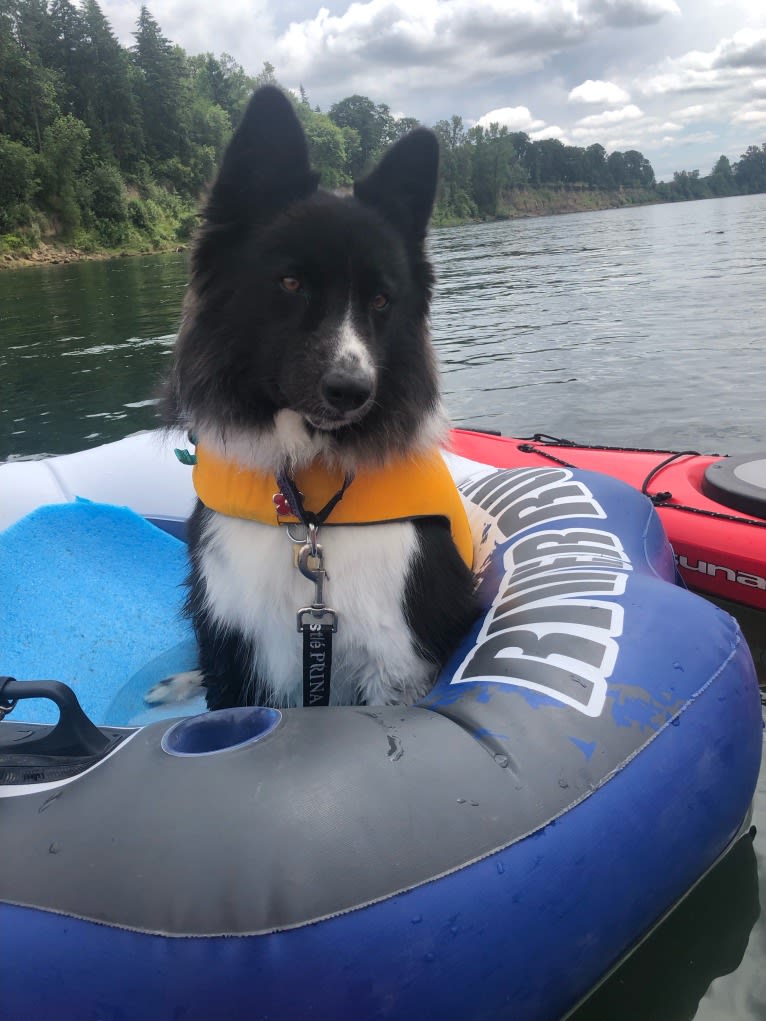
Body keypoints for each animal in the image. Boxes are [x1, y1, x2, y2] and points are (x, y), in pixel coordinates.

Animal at [152, 87, 477, 710]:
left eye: (381, 300)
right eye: (291, 283)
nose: (353, 392)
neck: (308, 504)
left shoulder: (395, 662)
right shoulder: (234, 645)